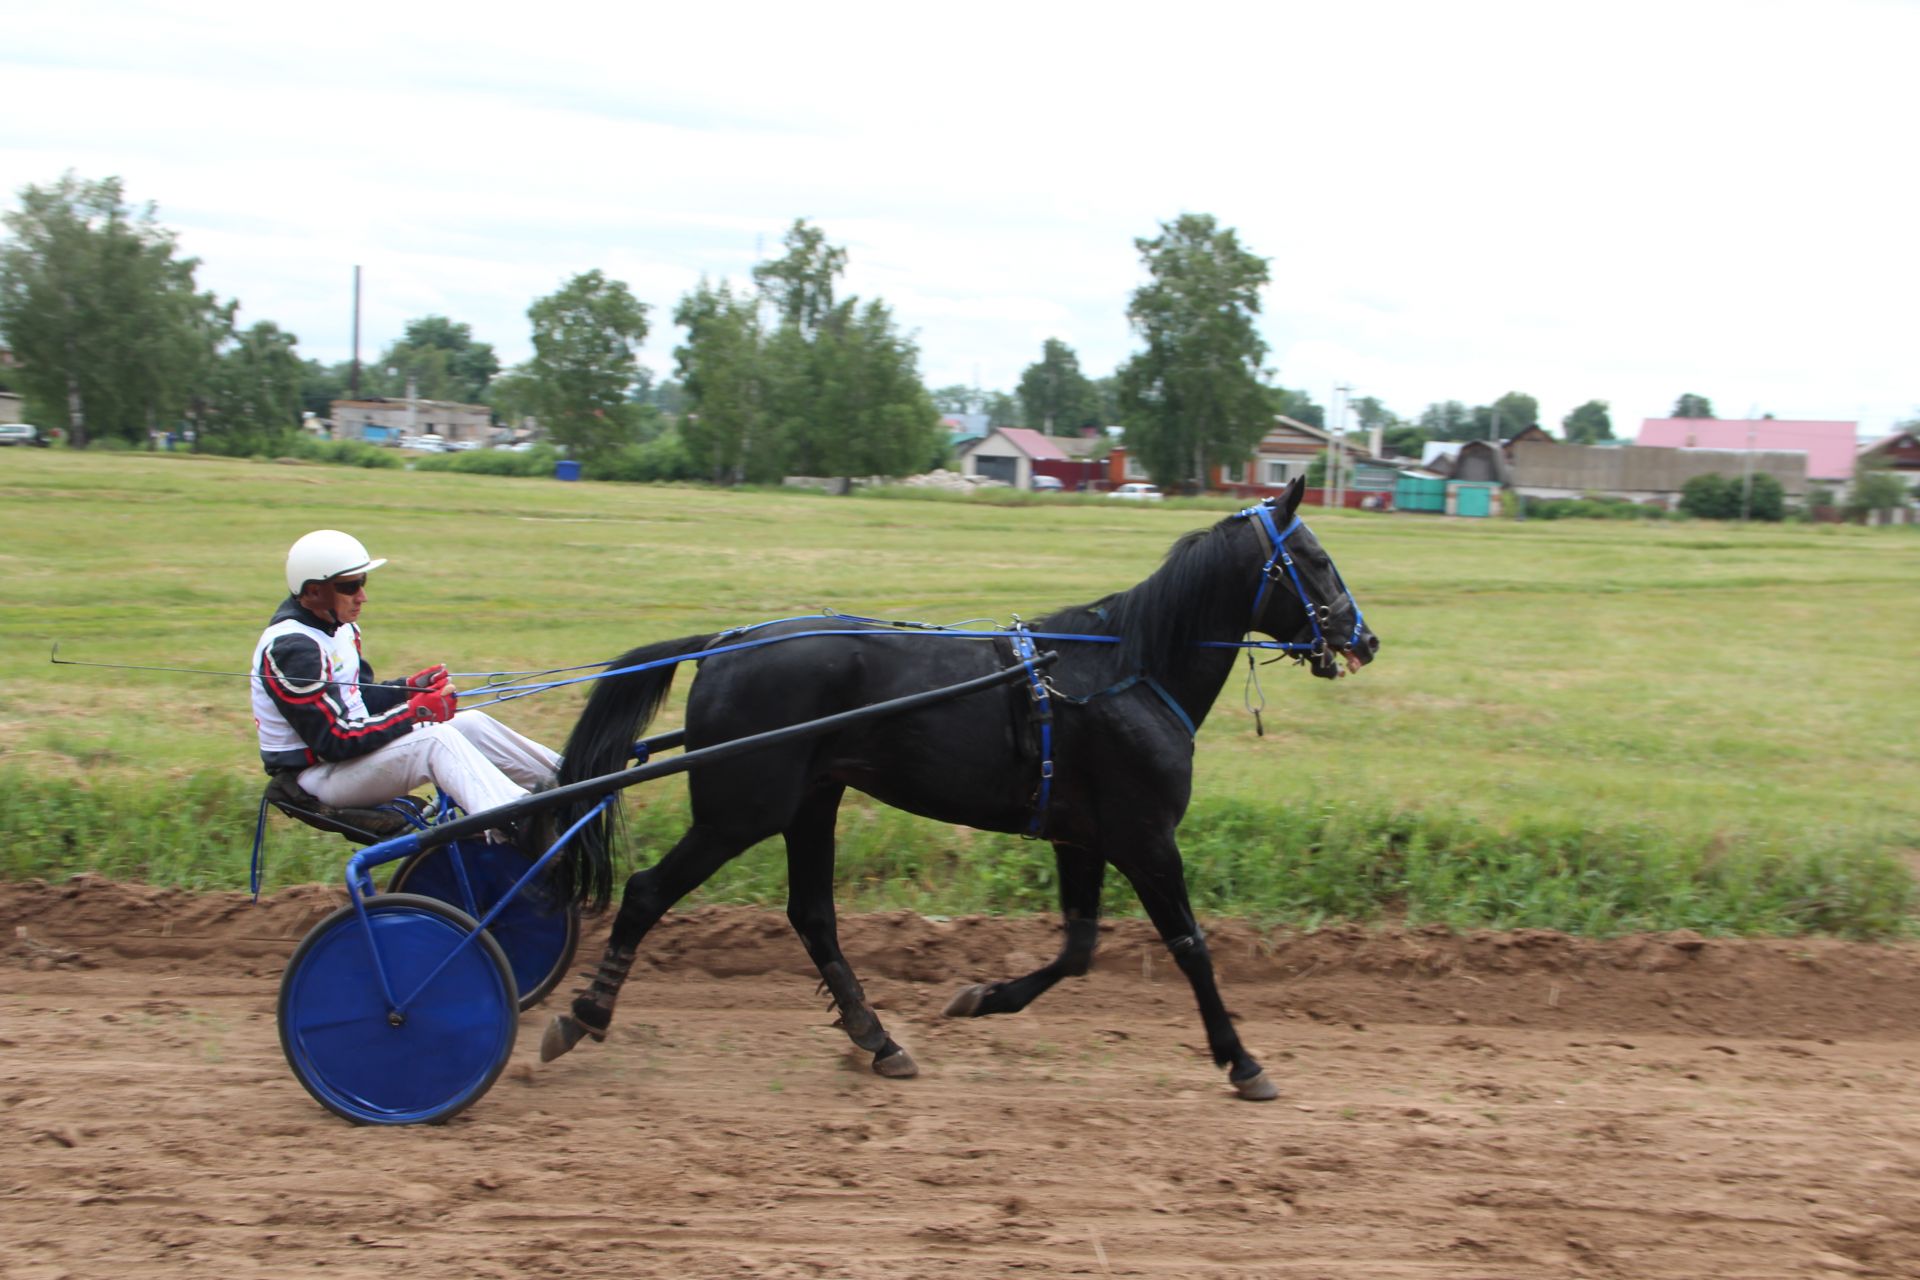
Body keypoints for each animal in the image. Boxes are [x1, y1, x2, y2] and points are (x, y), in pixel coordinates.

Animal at [541, 479, 1382, 1105]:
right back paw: (582, 1015)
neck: (1125, 672)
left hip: (811, 803)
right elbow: (1191, 948)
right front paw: (1243, 1060)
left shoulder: (1082, 836)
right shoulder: (1146, 838)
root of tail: (723, 644)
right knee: (648, 893)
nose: (1364, 639)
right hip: (739, 811)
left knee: (813, 917)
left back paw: (878, 1039)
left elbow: (1078, 949)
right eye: (1314, 558)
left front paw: (980, 997)